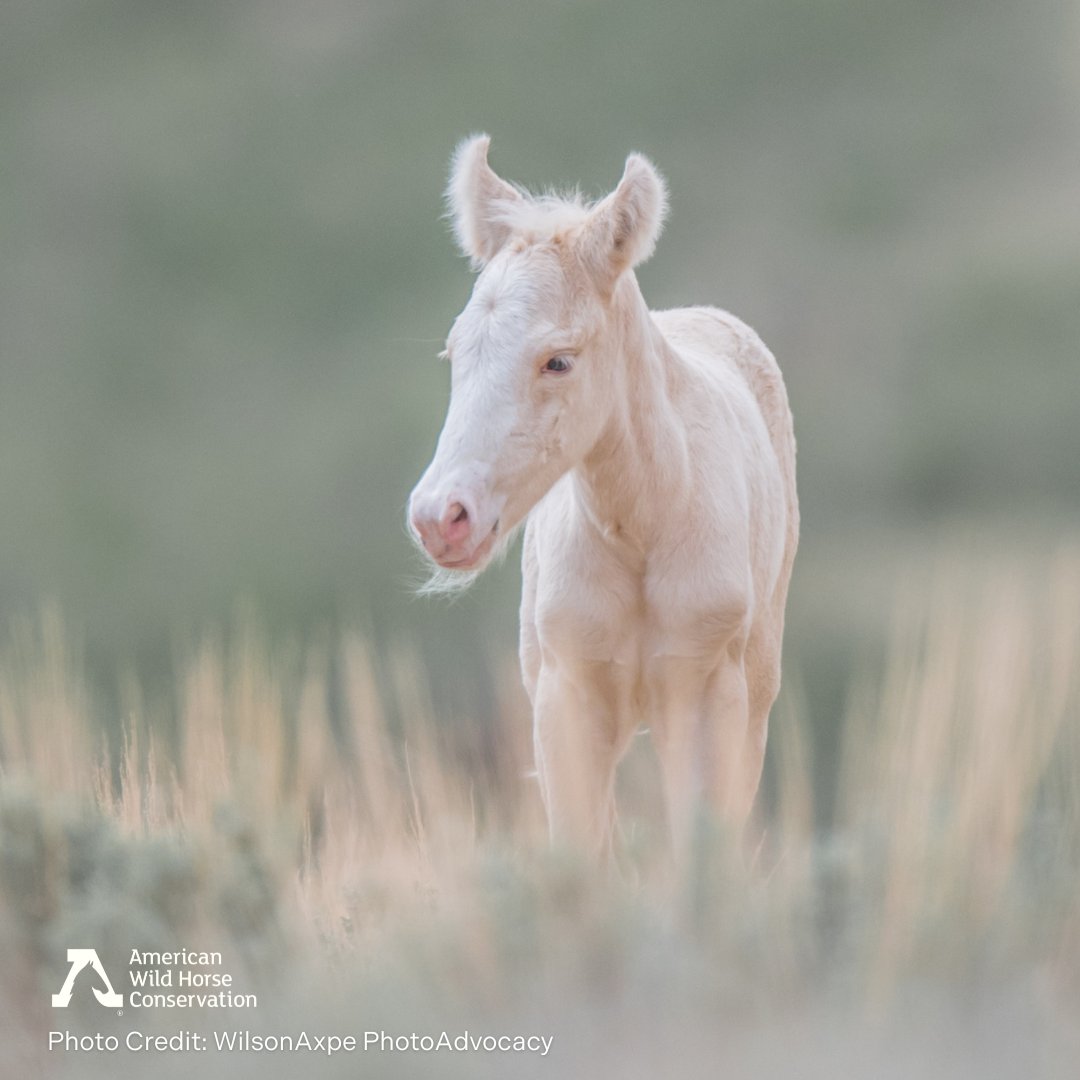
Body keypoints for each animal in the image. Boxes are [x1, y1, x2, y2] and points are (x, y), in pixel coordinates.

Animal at [408, 137, 799, 859]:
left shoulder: (707, 695)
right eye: (454, 354)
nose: (440, 518)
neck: (643, 529)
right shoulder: (565, 697)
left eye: (558, 360)